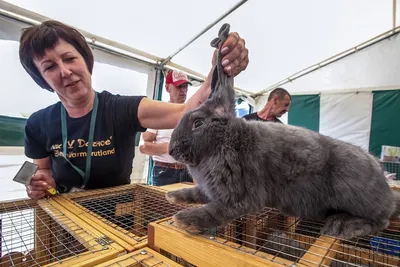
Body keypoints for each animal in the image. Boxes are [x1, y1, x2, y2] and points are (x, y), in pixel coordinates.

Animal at [166, 23, 400, 241]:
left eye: (197, 123)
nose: (171, 150)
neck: (224, 140)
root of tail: (385, 185)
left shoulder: (239, 196)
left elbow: (216, 211)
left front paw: (183, 219)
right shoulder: (208, 189)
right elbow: (195, 192)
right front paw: (173, 195)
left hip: (354, 189)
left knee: (382, 220)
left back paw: (342, 226)